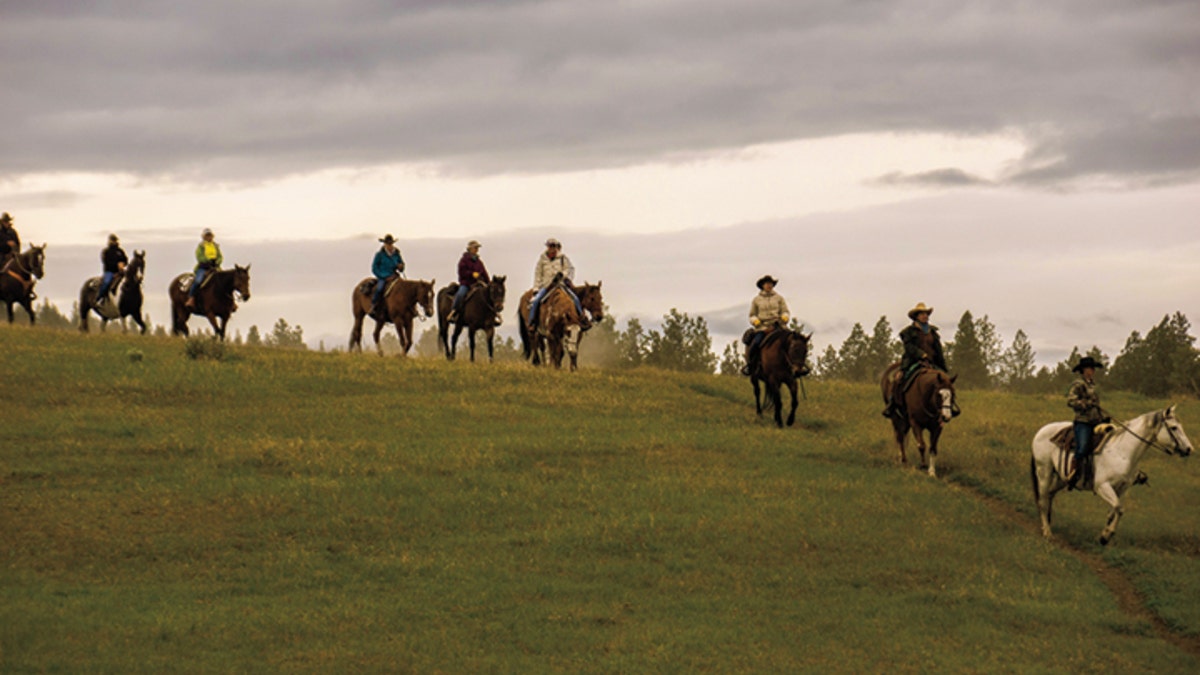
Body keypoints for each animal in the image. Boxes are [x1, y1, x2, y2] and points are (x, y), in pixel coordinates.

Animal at [1032, 403, 1190, 540]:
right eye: (1174, 428)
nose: (1189, 449)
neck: (1122, 452)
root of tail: (1041, 431)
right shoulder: (1103, 486)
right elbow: (1118, 508)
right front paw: (1107, 535)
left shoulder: (1122, 489)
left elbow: (1114, 511)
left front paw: (1104, 535)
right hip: (1044, 471)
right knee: (1043, 501)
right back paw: (1047, 532)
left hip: (1061, 478)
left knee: (1050, 495)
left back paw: (1047, 525)